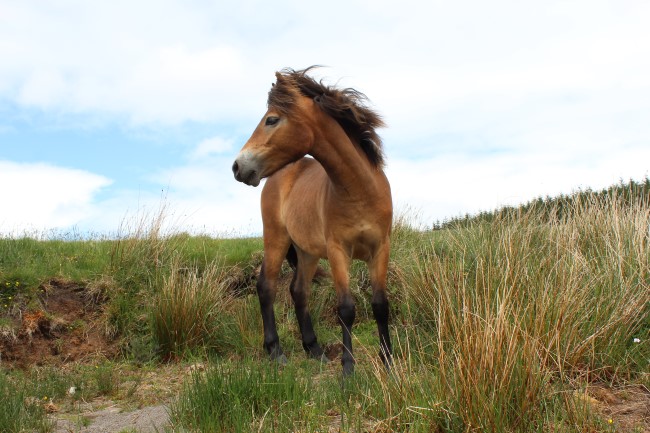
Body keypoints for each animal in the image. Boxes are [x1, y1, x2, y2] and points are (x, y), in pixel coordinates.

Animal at [234, 66, 394, 372]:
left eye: (272, 119)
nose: (238, 166)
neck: (359, 191)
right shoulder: (338, 251)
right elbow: (346, 308)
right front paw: (348, 368)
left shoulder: (380, 248)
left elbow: (380, 304)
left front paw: (389, 361)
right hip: (276, 239)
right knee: (267, 287)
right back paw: (276, 351)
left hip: (306, 252)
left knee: (299, 291)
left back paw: (314, 349)